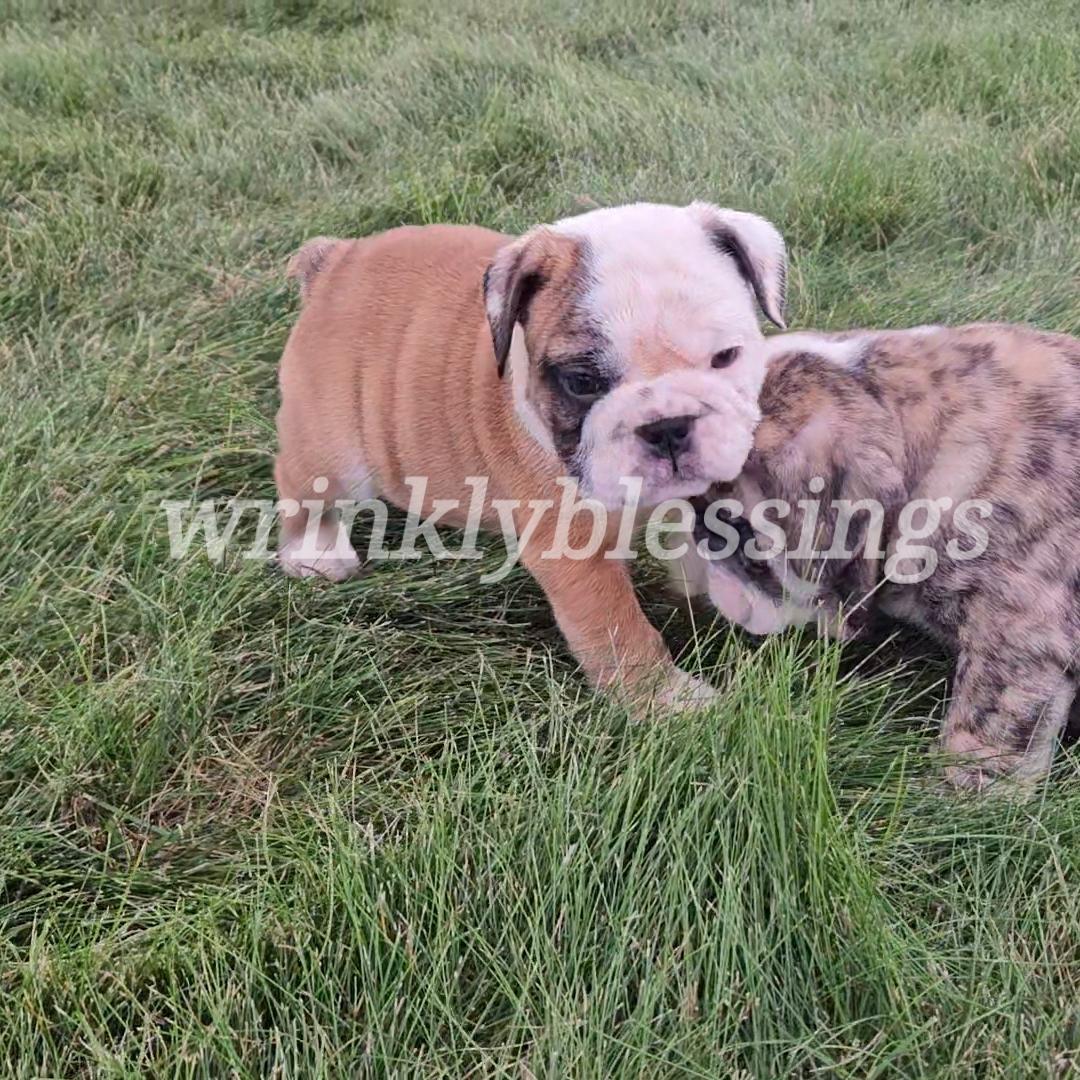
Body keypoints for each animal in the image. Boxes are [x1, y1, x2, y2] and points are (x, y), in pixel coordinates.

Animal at [274, 202, 787, 706]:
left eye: (726, 357)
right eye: (581, 382)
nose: (667, 425)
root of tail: (335, 260)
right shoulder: (574, 553)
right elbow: (618, 629)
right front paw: (669, 701)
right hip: (333, 448)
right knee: (304, 487)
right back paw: (317, 553)